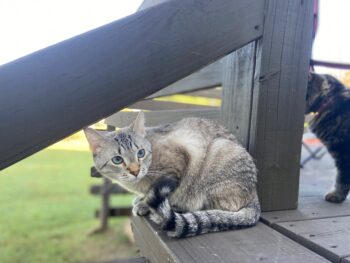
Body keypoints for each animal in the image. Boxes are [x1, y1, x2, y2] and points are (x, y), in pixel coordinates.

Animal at [84, 113, 260, 239]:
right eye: (117, 160)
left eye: (140, 153)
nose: (135, 171)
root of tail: (255, 196)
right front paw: (141, 199)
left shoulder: (179, 162)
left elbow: (160, 191)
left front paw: (144, 204)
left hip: (220, 150)